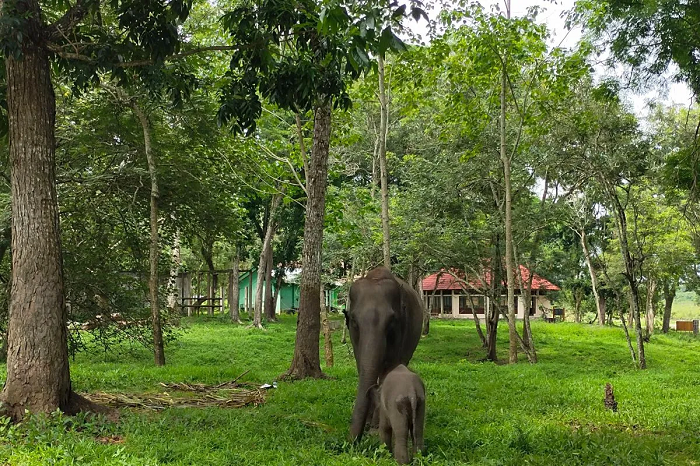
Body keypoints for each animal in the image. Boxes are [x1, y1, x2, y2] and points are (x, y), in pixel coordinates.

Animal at [344, 266, 422, 440]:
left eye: (391, 321)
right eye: (354, 321)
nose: (353, 441)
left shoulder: (400, 332)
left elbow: (389, 369)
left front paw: (375, 429)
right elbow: (362, 365)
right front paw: (369, 425)